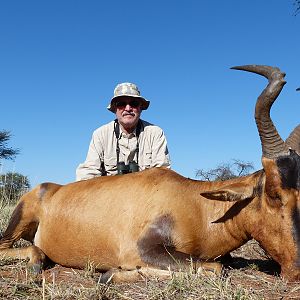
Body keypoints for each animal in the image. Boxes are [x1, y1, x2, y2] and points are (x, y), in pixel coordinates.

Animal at [0, 64, 298, 282]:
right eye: (273, 193)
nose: (295, 269)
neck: (195, 203)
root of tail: (46, 188)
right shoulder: (145, 248)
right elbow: (213, 268)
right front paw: (113, 273)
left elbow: (216, 265)